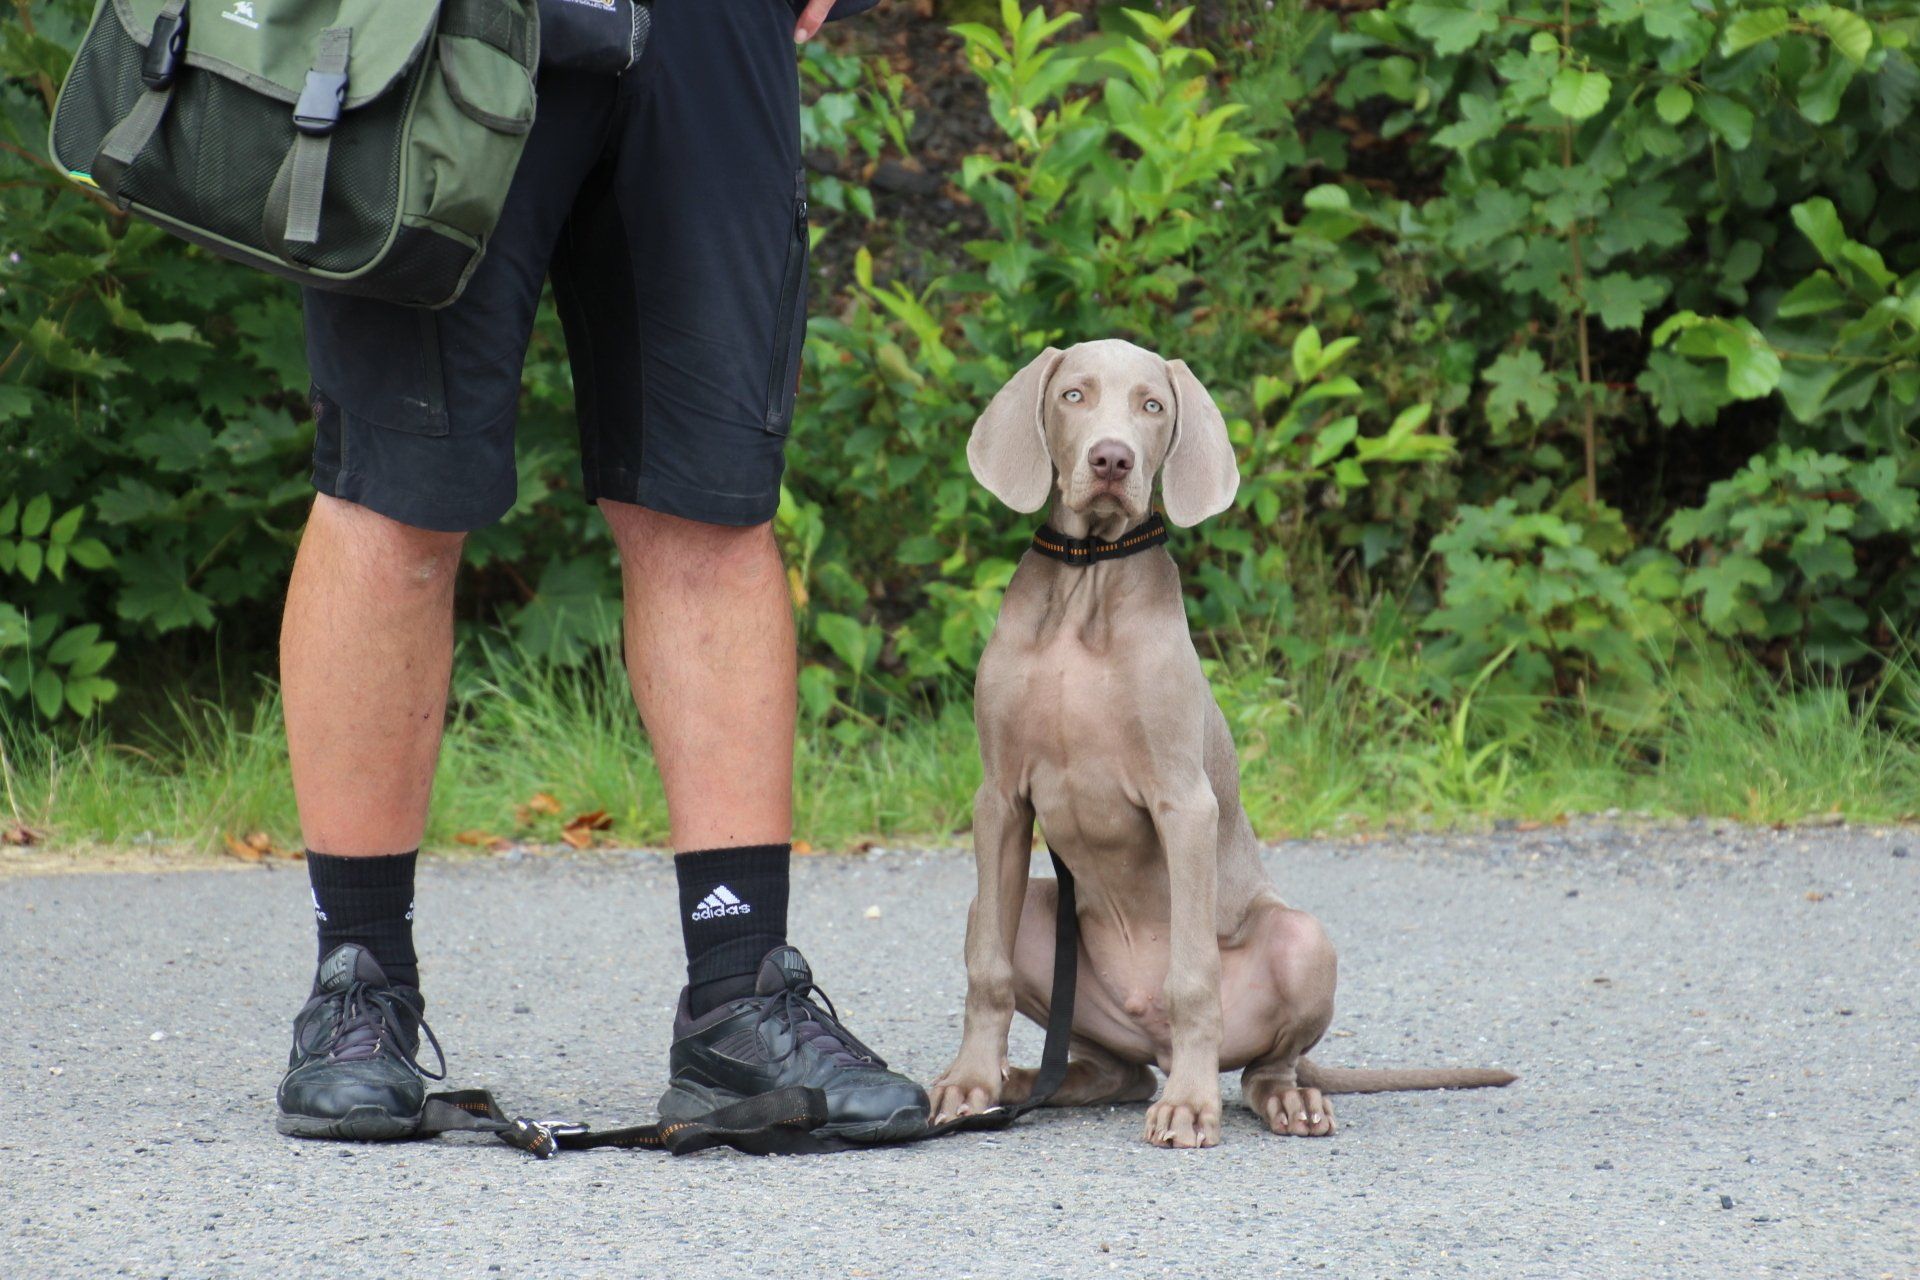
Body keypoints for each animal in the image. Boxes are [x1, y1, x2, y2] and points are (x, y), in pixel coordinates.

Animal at [929, 339, 1512, 1151]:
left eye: (1152, 406)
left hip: (1303, 941)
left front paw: (1190, 1108)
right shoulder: (1001, 798)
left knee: (1266, 1063)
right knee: (1117, 1069)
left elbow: (1193, 977)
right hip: (1038, 918)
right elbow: (988, 971)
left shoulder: (1184, 802)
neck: (1088, 581)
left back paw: (1276, 1099)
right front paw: (972, 1083)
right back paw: (1028, 1083)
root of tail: (1156, 1043)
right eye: (1075, 395)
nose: (1111, 460)